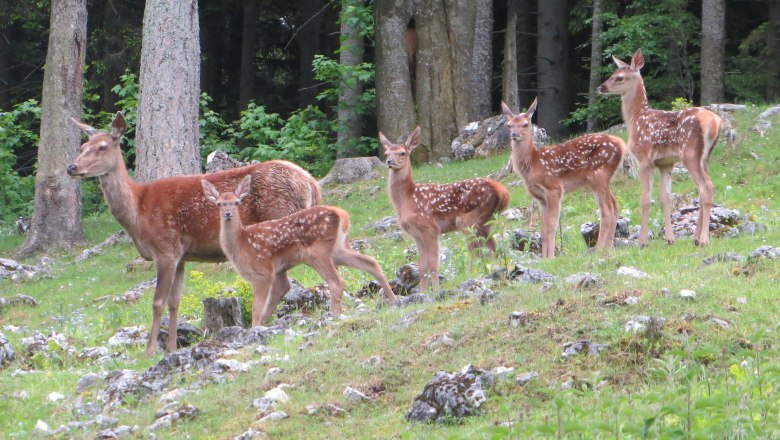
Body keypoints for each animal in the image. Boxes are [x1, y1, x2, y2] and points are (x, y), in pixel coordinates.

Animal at [67, 112, 320, 354]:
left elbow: (157, 302)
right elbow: (174, 302)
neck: (138, 211)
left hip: (277, 230)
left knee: (281, 284)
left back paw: (256, 327)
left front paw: (149, 351)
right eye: (82, 147)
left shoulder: (165, 248)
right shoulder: (180, 255)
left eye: (102, 147)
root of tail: (311, 182)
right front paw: (171, 347)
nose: (72, 167)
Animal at [203, 175, 396, 324]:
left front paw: (254, 329)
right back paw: (393, 299)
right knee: (370, 262)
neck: (241, 243)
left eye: (236, 202)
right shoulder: (278, 270)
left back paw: (334, 314)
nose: (228, 214)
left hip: (318, 252)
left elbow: (257, 308)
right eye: (219, 204)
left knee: (337, 282)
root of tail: (342, 214)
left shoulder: (262, 271)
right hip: (339, 249)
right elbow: (272, 302)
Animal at [380, 125, 512, 290]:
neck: (407, 199)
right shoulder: (416, 234)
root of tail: (502, 191)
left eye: (402, 153)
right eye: (386, 153)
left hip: (469, 221)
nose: (389, 161)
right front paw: (424, 291)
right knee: (493, 249)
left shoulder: (430, 228)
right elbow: (421, 265)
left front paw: (436, 290)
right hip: (486, 222)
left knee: (477, 252)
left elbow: (433, 263)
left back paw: (472, 276)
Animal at [500, 97, 628, 258]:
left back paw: (599, 249)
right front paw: (544, 258)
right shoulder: (540, 197)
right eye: (509, 125)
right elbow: (543, 229)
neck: (533, 164)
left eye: (525, 124)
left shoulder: (554, 188)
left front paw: (550, 258)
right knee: (615, 206)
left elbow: (551, 226)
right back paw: (609, 248)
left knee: (607, 210)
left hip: (598, 176)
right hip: (604, 180)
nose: (514, 134)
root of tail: (621, 144)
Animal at [600, 49, 724, 248]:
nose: (601, 87)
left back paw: (704, 239)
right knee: (703, 189)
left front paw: (642, 242)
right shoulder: (666, 163)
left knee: (706, 187)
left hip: (690, 153)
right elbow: (666, 197)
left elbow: (645, 198)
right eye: (612, 73)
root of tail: (715, 122)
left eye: (619, 77)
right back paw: (696, 238)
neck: (635, 119)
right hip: (705, 157)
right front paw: (669, 239)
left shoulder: (644, 158)